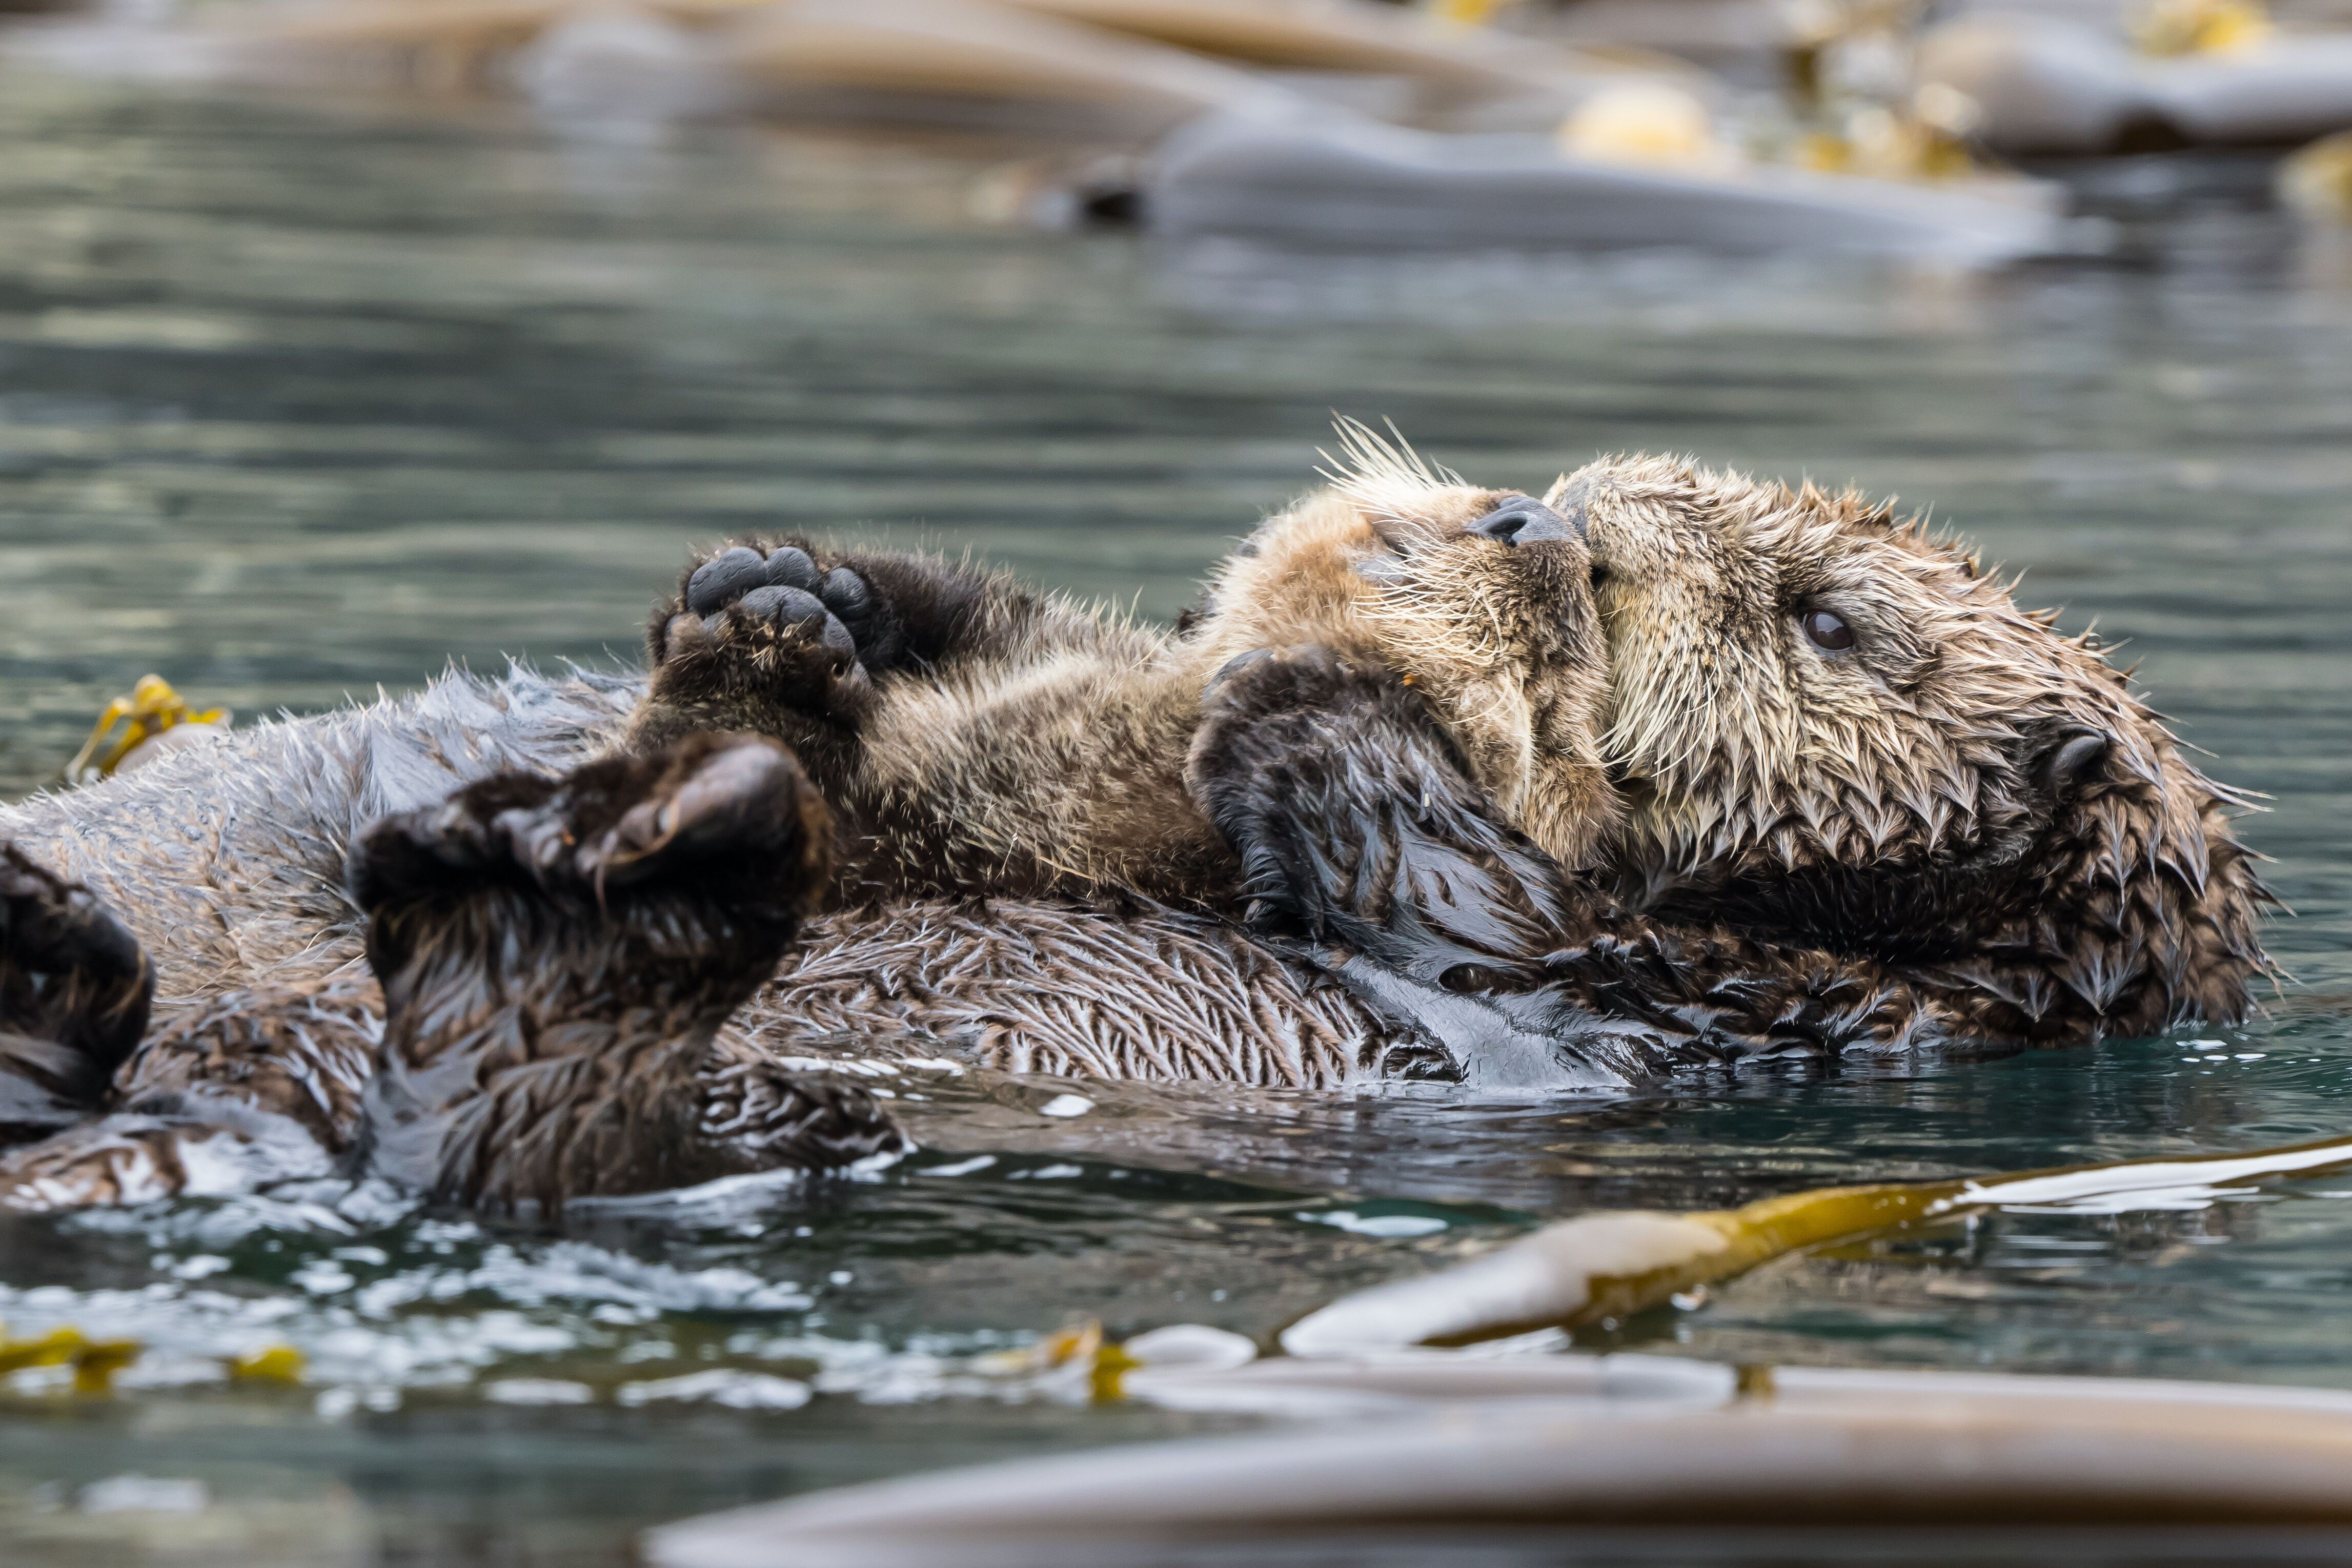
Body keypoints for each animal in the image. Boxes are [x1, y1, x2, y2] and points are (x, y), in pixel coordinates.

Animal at [0, 442, 2258, 1213]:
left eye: (1826, 615)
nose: (1562, 515)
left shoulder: (1757, 1009)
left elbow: (1469, 916)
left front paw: (1318, 696)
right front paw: (800, 588)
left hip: (693, 1098)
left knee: (512, 1109)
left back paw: (532, 903)